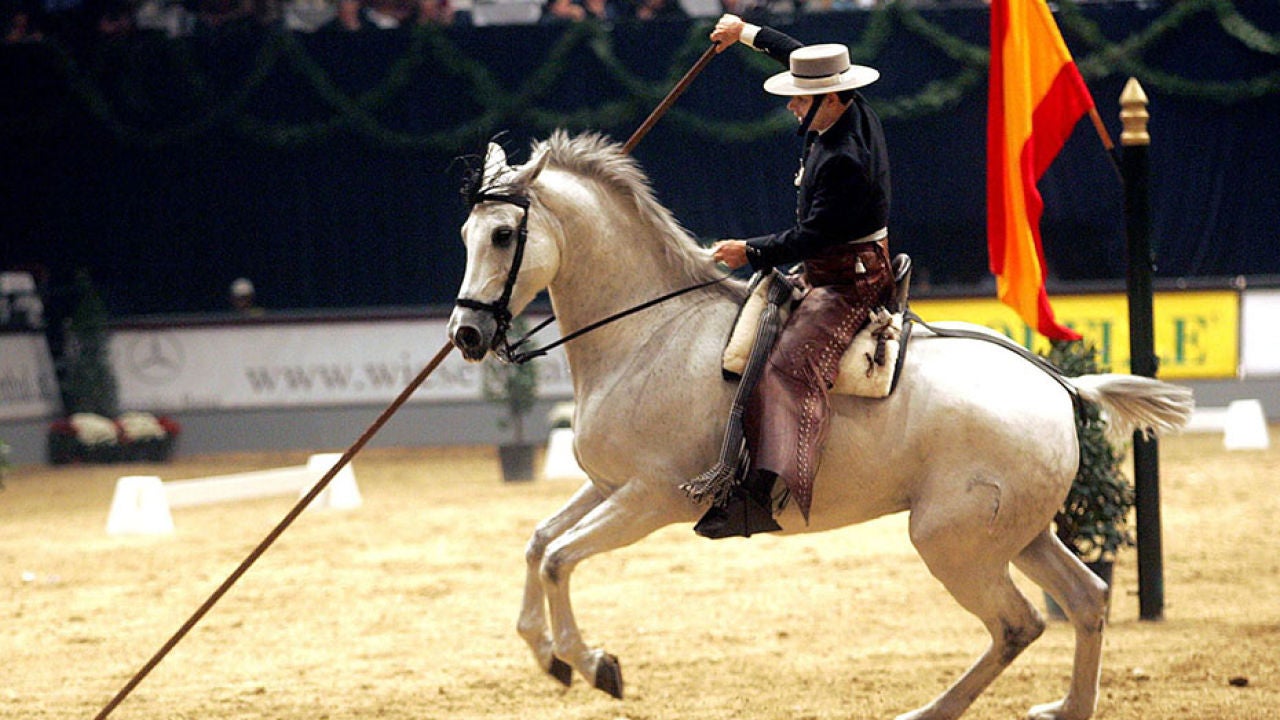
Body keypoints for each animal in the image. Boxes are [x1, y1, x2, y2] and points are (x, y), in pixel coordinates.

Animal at [446, 131, 1193, 720]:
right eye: (465, 236)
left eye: (504, 235)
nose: (466, 335)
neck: (652, 332)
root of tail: (1058, 385)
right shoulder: (607, 486)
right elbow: (538, 544)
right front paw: (547, 653)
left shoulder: (649, 499)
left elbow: (560, 559)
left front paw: (592, 662)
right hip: (1022, 534)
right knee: (1088, 599)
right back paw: (1067, 707)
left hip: (953, 543)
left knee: (1020, 623)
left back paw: (929, 712)